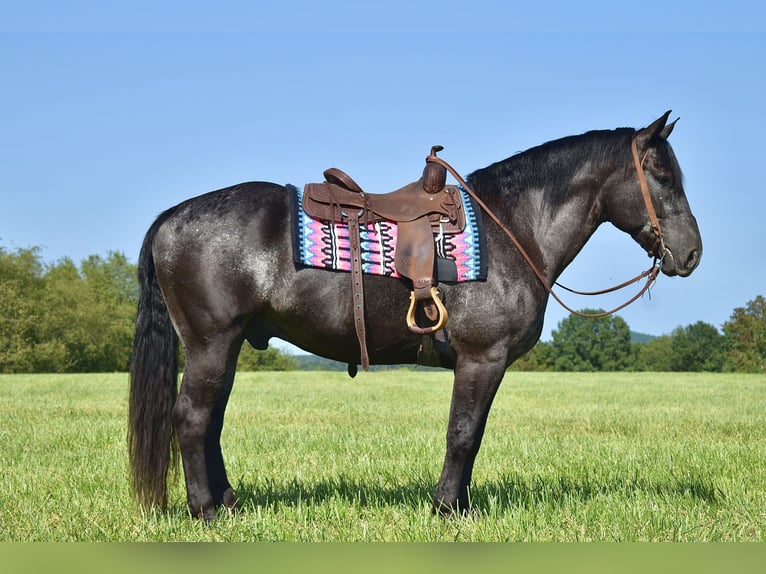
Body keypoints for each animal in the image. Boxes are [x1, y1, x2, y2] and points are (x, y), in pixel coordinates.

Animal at [129, 112, 704, 520]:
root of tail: (171, 217)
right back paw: (205, 511)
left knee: (211, 422)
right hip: (211, 344)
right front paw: (448, 509)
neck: (513, 227)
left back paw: (228, 503)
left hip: (225, 348)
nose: (691, 254)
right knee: (192, 418)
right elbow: (464, 433)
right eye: (662, 175)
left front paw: (460, 505)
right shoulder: (482, 359)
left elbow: (471, 434)